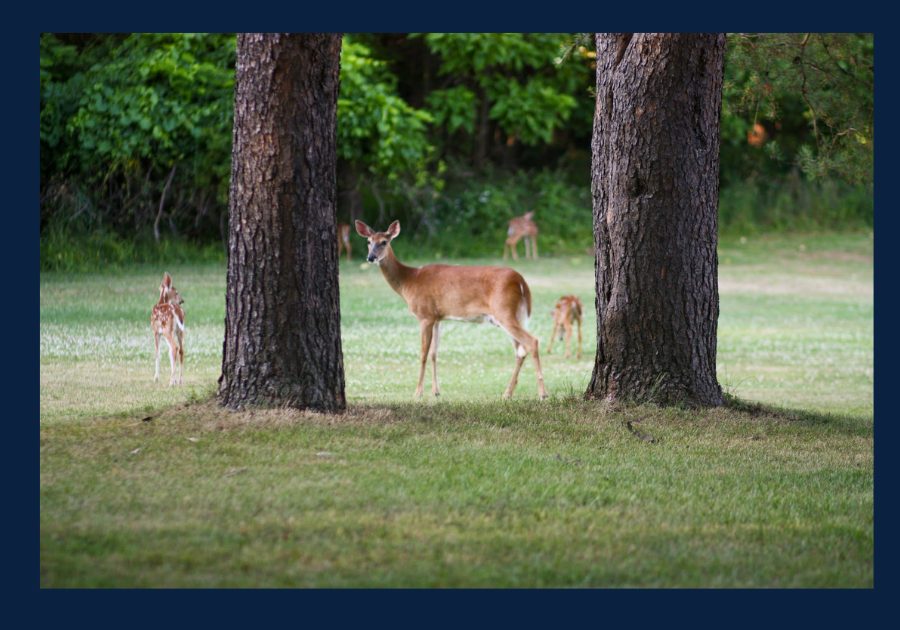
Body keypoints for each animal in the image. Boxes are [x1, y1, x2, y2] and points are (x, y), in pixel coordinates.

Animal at [355, 220, 548, 400]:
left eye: (384, 242)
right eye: (368, 241)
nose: (370, 257)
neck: (409, 281)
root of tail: (521, 281)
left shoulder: (424, 315)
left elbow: (423, 354)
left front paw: (418, 393)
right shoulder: (437, 318)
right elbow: (434, 353)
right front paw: (435, 391)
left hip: (504, 311)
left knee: (531, 342)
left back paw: (542, 393)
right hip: (512, 315)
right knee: (520, 350)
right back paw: (507, 393)